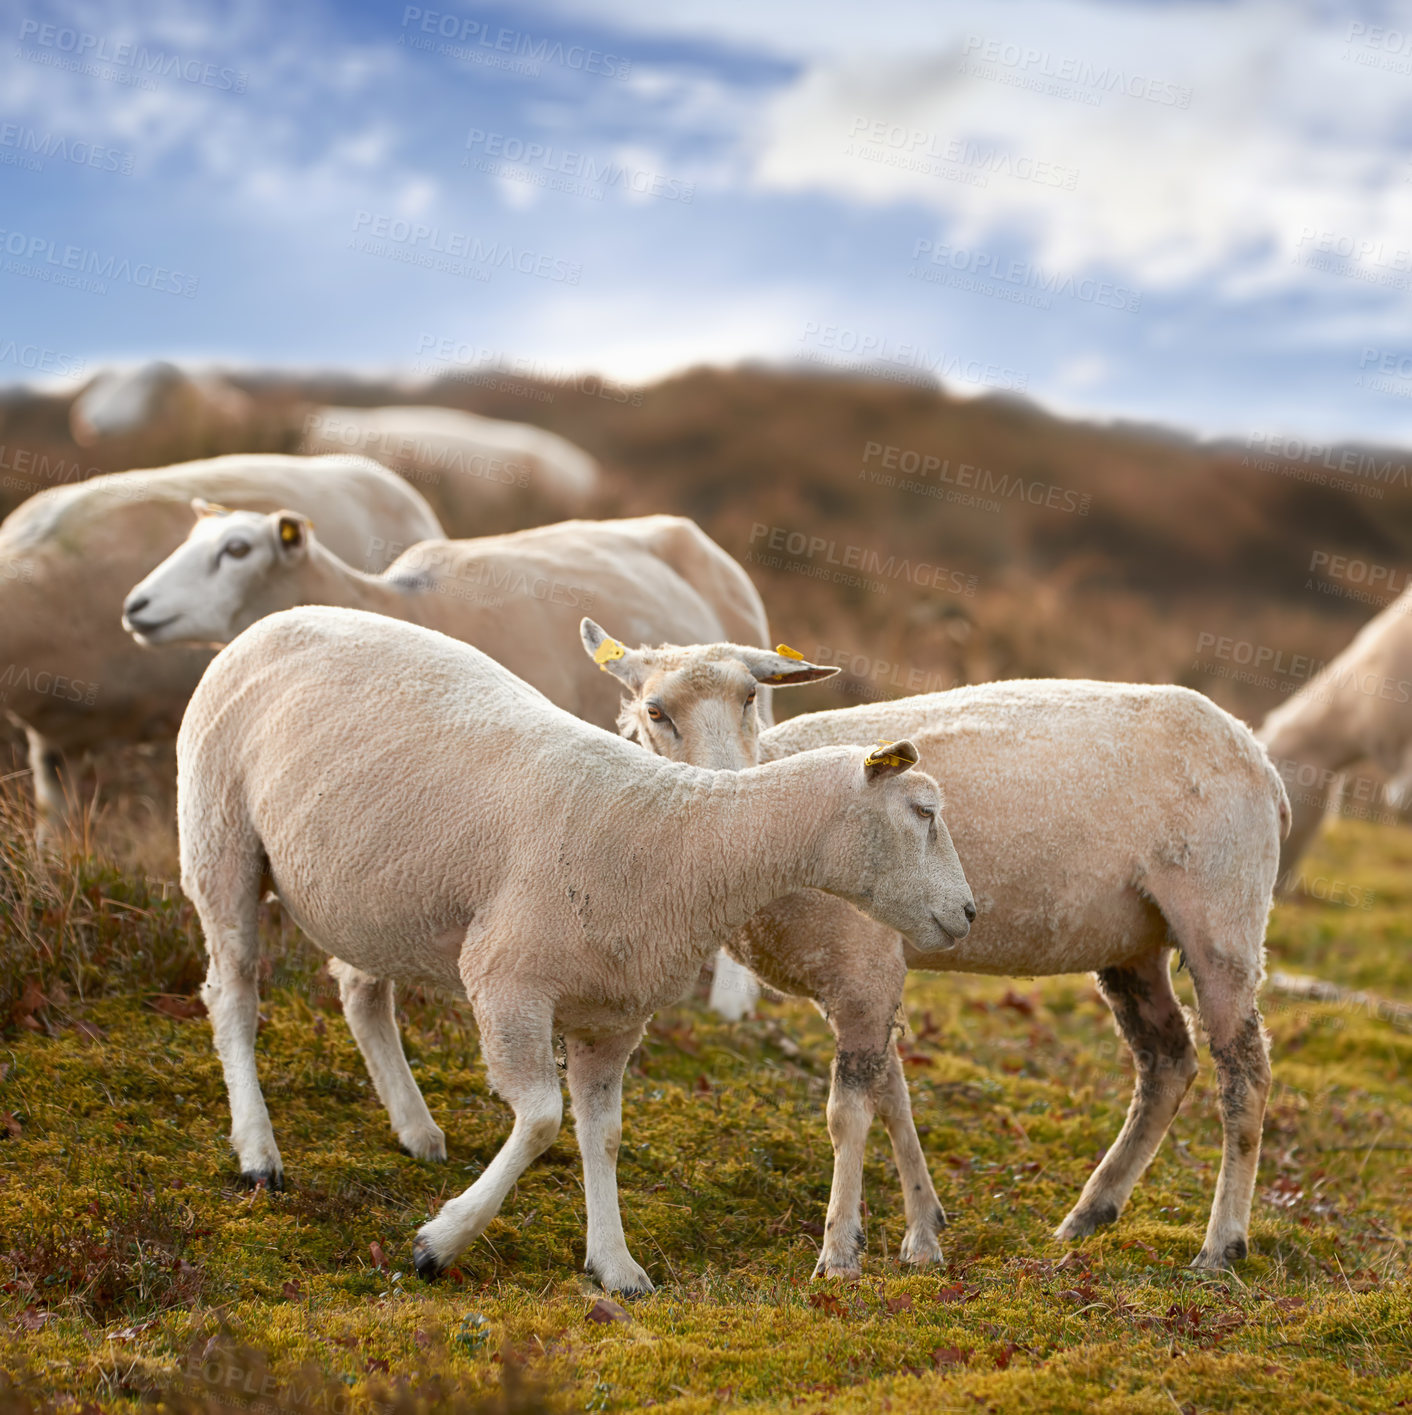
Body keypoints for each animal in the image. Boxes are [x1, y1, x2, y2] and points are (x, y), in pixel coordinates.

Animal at [176, 602, 979, 1290]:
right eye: (924, 811)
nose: (969, 912)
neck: (683, 840)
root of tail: (276, 618)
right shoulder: (505, 979)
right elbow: (540, 1119)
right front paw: (440, 1242)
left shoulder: (613, 1014)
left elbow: (604, 1132)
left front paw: (615, 1265)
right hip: (221, 838)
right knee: (234, 994)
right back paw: (258, 1152)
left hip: (372, 895)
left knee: (360, 991)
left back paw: (415, 1129)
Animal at [582, 625, 1295, 1279]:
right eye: (655, 712)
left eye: (751, 696)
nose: (730, 791)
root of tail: (1258, 757)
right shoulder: (865, 973)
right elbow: (892, 1097)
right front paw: (922, 1234)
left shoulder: (863, 967)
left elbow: (848, 1113)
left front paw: (839, 1255)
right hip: (1133, 941)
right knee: (1167, 1061)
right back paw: (1090, 1214)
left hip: (1221, 916)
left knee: (1244, 1075)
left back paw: (1220, 1247)